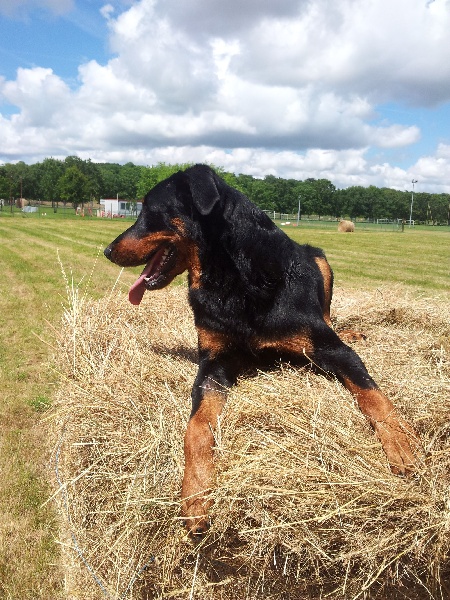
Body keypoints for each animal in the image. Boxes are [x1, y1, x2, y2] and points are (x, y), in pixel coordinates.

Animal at [103, 163, 416, 536]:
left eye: (149, 211)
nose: (107, 251)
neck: (234, 276)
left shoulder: (334, 351)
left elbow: (374, 396)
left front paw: (399, 441)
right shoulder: (214, 363)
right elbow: (196, 427)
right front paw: (196, 490)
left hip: (319, 259)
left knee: (330, 314)